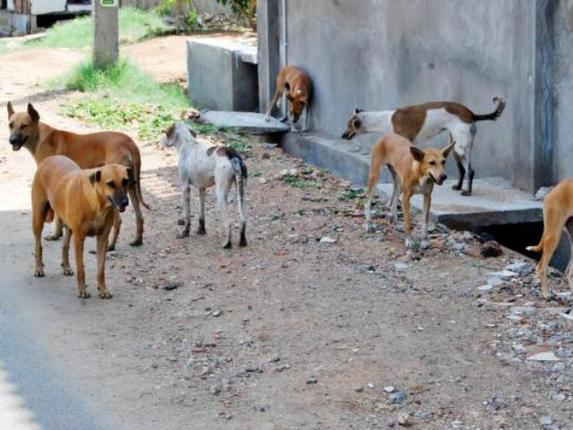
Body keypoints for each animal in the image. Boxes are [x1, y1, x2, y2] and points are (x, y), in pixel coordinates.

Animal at [6, 101, 149, 249]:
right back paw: (137, 240)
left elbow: (57, 218)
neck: (40, 137)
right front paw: (58, 235)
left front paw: (56, 235)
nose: (11, 140)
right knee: (140, 217)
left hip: (116, 195)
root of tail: (130, 142)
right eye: (10, 125)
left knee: (118, 221)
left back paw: (110, 245)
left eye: (24, 126)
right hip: (130, 187)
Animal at [31, 155, 132, 298]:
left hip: (68, 225)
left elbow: (101, 269)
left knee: (65, 245)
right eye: (110, 184)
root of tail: (49, 158)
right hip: (38, 218)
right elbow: (81, 268)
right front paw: (83, 290)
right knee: (38, 245)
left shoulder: (103, 238)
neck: (96, 203)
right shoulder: (79, 238)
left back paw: (66, 267)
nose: (125, 202)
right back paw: (39, 268)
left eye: (126, 181)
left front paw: (103, 289)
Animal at [340, 97, 504, 195]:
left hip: (461, 148)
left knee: (470, 171)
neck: (384, 119)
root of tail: (471, 114)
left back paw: (467, 192)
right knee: (462, 170)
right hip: (455, 148)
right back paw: (458, 187)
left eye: (348, 125)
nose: (342, 135)